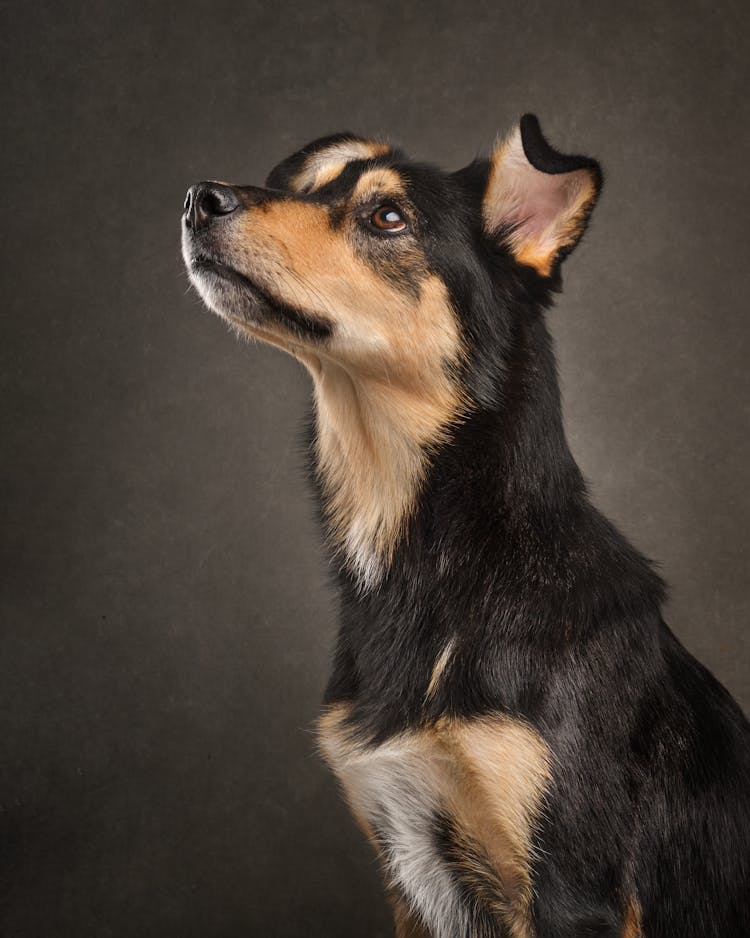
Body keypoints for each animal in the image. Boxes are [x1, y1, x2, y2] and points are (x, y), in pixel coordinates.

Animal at [182, 117, 750, 936]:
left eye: (387, 217)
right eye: (313, 189)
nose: (200, 198)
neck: (438, 554)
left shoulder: (570, 891)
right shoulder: (404, 861)